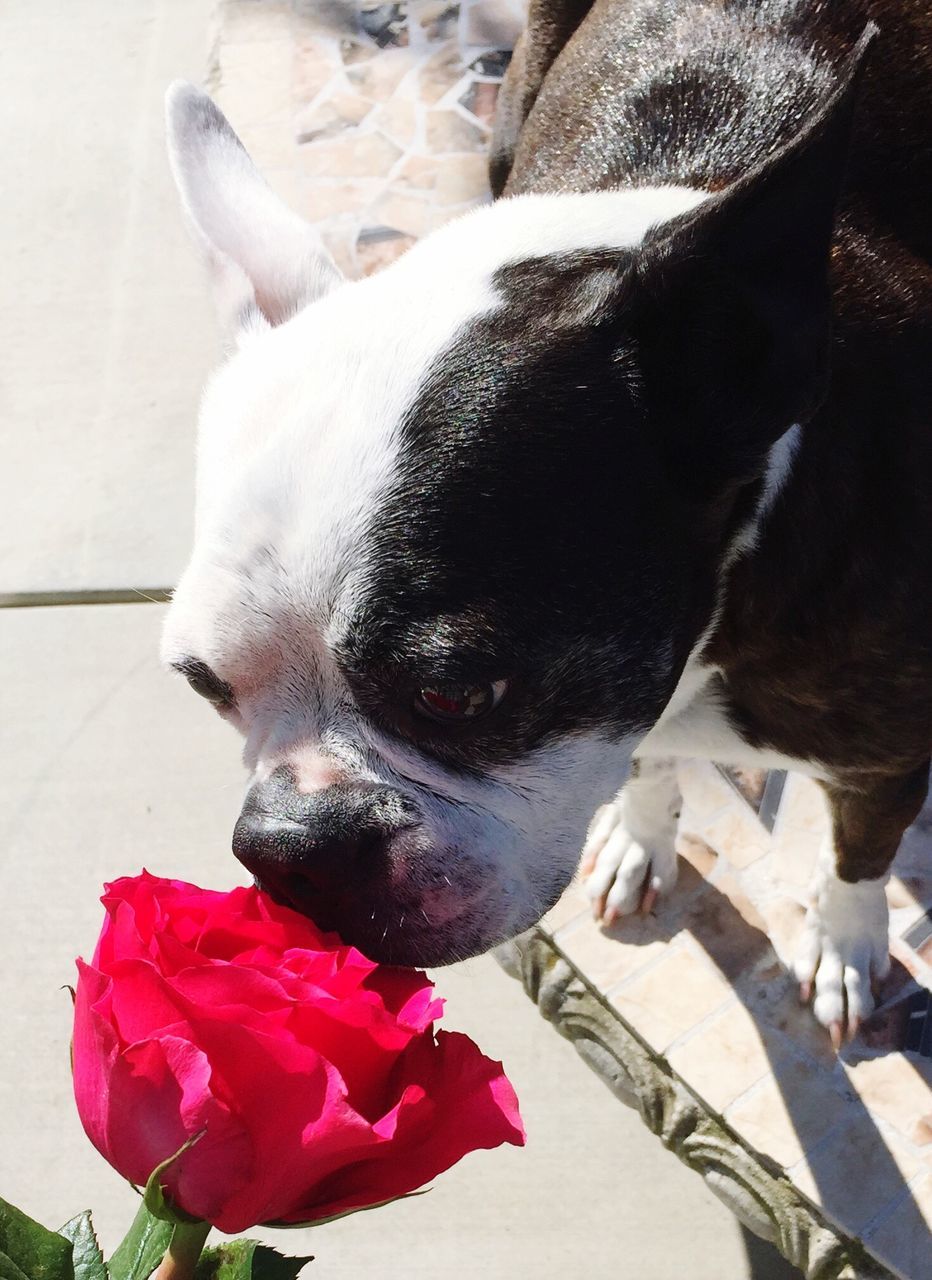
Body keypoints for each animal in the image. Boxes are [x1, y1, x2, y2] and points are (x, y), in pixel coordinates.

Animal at [163, 0, 926, 1049]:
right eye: (205, 687)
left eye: (455, 695)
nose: (287, 848)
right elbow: (647, 761)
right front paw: (642, 835)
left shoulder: (887, 755)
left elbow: (861, 854)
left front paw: (845, 943)